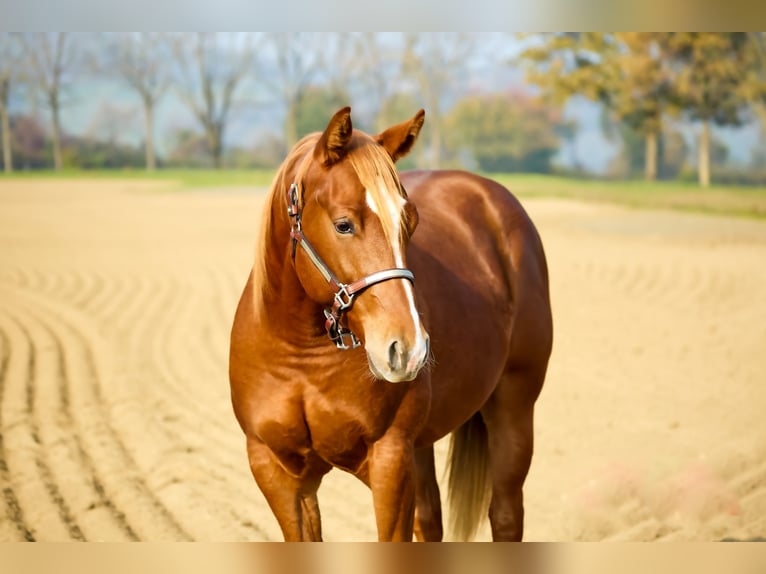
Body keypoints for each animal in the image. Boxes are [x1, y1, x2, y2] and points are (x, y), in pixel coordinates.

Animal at [229, 107, 553, 541]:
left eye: (410, 223)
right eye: (343, 224)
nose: (408, 348)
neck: (301, 356)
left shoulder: (390, 461)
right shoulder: (277, 472)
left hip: (513, 409)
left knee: (505, 515)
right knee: (431, 521)